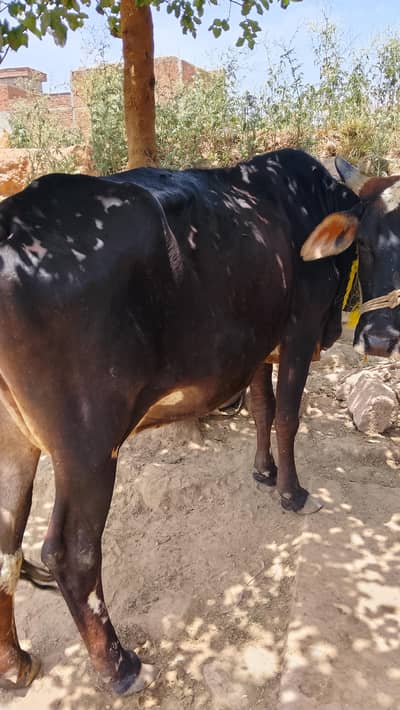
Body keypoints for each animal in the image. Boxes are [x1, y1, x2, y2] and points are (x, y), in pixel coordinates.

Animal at [0, 149, 358, 694]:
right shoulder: (297, 335)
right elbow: (288, 416)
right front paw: (293, 494)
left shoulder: (257, 345)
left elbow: (262, 408)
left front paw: (264, 472)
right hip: (86, 449)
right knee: (71, 553)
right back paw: (120, 668)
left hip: (13, 441)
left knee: (5, 546)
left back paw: (15, 664)